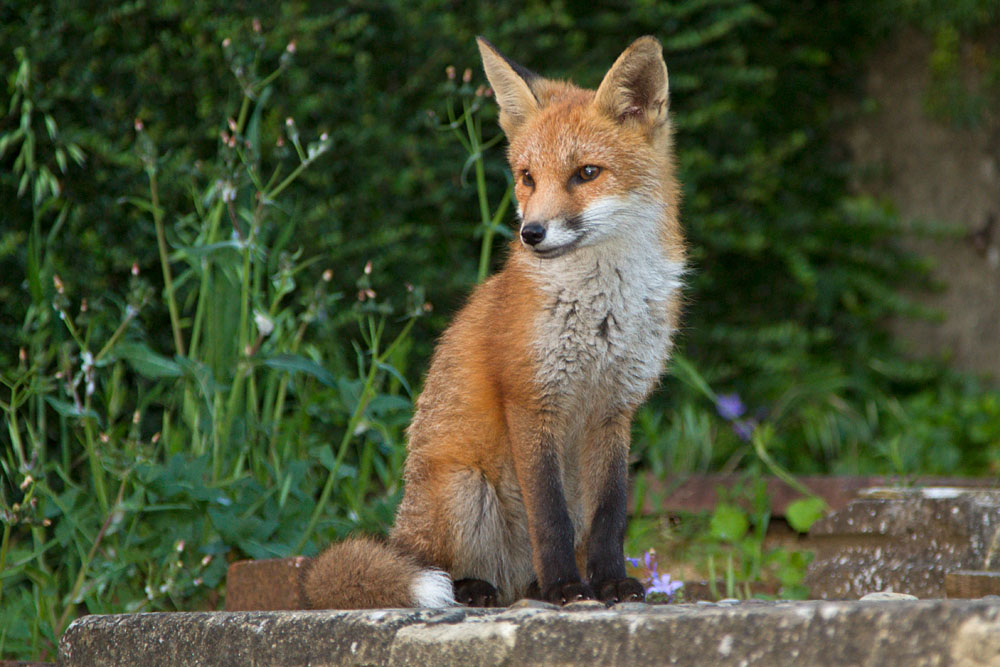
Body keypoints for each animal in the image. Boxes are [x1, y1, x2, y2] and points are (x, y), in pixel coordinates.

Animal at [302, 35, 684, 609]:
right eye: (527, 178)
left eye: (587, 173)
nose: (532, 233)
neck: (603, 308)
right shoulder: (529, 398)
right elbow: (550, 517)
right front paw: (568, 589)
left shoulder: (616, 409)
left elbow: (609, 516)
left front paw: (610, 583)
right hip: (466, 488)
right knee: (436, 564)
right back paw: (479, 588)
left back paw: (531, 586)